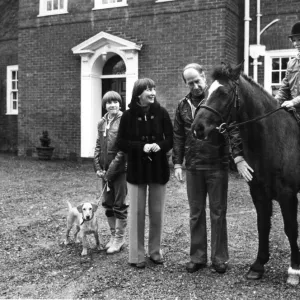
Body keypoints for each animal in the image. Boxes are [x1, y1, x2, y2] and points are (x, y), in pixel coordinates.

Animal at [192, 62, 300, 284]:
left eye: (223, 92)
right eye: (206, 92)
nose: (197, 127)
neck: (274, 139)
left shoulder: (288, 195)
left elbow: (291, 228)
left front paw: (294, 269)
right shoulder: (259, 193)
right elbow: (263, 226)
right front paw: (258, 266)